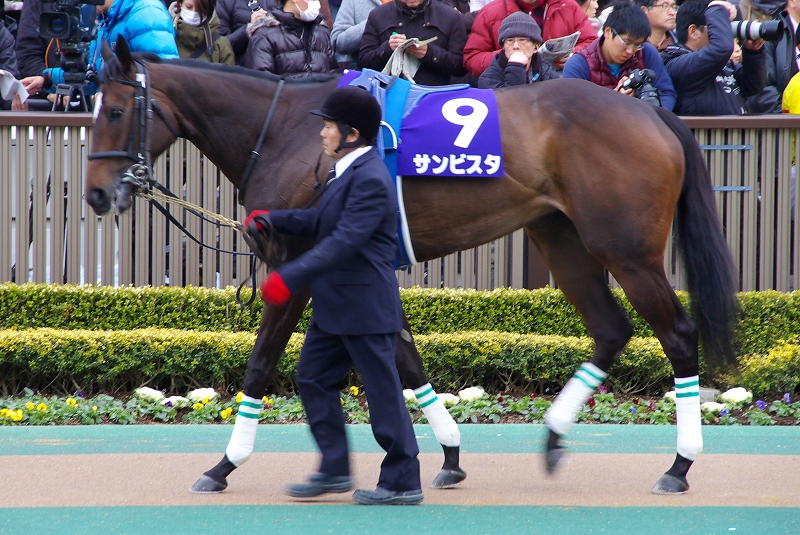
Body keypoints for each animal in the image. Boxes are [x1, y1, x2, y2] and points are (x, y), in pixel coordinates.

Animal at [83, 38, 736, 498]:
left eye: (113, 111)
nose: (95, 195)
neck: (290, 131)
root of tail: (651, 116)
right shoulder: (356, 263)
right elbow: (403, 356)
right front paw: (448, 455)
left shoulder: (299, 264)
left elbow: (262, 362)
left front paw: (224, 464)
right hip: (563, 239)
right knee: (610, 330)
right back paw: (554, 437)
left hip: (627, 252)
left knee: (677, 336)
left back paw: (679, 465)